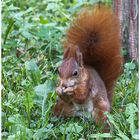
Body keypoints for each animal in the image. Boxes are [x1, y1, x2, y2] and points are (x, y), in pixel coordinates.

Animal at [53, 3, 123, 131]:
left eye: (75, 73)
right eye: (59, 71)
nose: (64, 85)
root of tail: (83, 115)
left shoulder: (88, 84)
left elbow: (81, 96)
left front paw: (70, 90)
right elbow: (64, 97)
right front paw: (58, 89)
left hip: (101, 110)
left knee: (104, 123)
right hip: (62, 107)